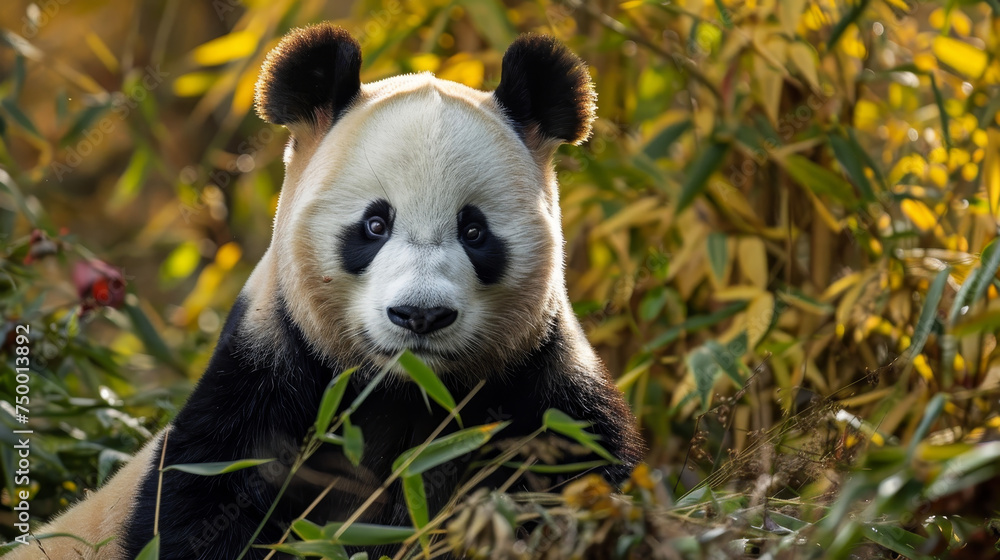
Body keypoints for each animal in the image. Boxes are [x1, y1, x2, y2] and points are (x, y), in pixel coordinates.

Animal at [8, 24, 644, 559]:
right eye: (374, 225)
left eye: (474, 231)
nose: (420, 315)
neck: (405, 393)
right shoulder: (267, 390)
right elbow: (200, 510)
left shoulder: (541, 393)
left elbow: (577, 484)